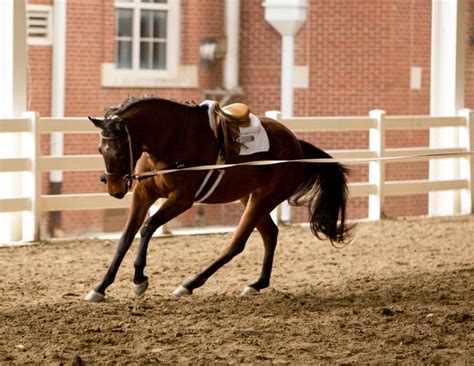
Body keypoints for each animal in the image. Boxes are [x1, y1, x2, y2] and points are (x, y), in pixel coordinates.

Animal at [86, 96, 352, 302]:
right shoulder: (144, 194)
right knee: (270, 234)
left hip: (263, 199)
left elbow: (148, 227)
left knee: (236, 244)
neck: (173, 141)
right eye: (100, 149)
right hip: (250, 197)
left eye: (120, 150)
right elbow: (126, 237)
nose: (115, 189)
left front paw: (139, 279)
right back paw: (257, 284)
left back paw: (189, 285)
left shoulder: (182, 199)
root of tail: (297, 145)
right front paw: (100, 287)